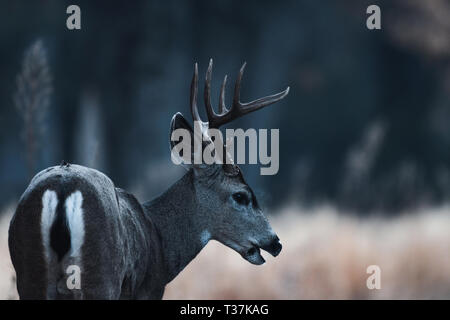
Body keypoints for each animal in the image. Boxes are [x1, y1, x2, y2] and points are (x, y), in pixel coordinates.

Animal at [8, 59, 290, 300]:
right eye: (241, 195)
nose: (275, 243)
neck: (160, 238)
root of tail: (63, 189)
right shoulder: (149, 288)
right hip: (100, 274)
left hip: (29, 272)